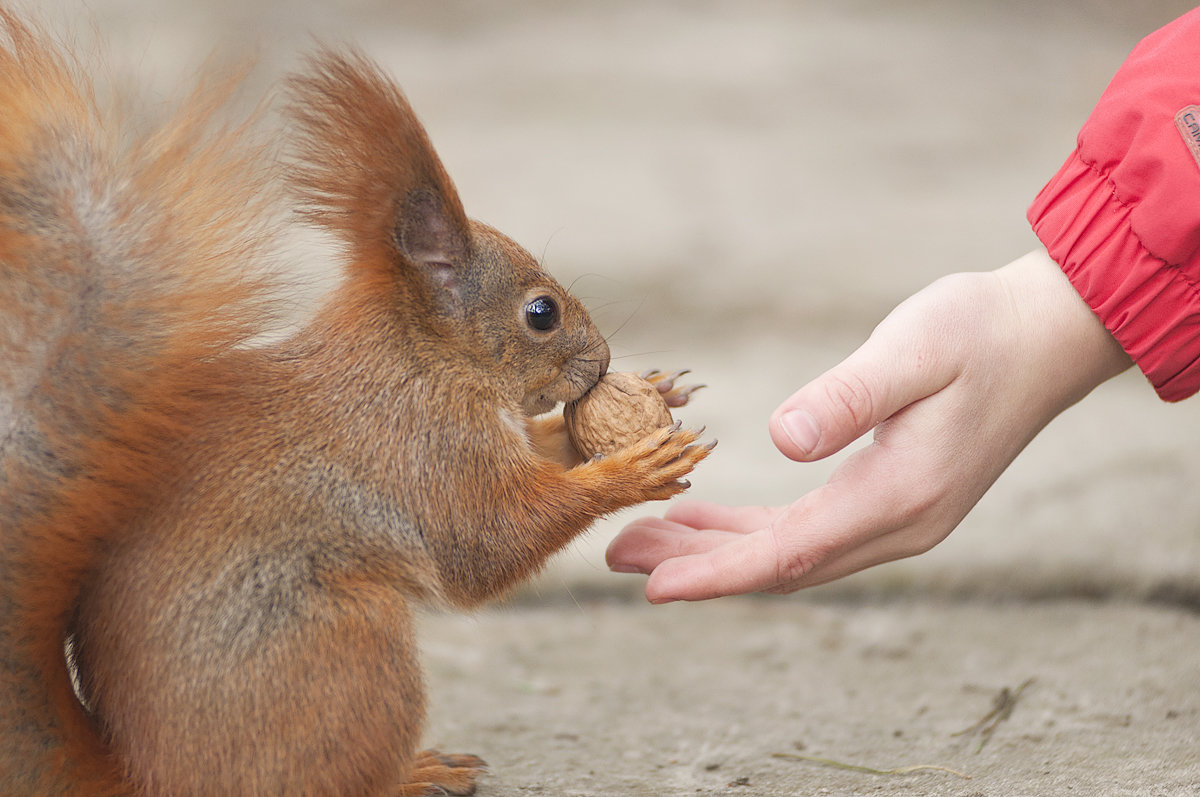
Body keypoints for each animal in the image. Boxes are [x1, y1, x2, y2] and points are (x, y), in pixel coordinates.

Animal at [0, 9, 710, 792]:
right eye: (542, 313)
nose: (604, 362)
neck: (420, 356)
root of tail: (149, 776)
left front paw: (648, 398)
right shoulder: (424, 441)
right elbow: (489, 540)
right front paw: (631, 470)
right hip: (351, 644)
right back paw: (415, 772)